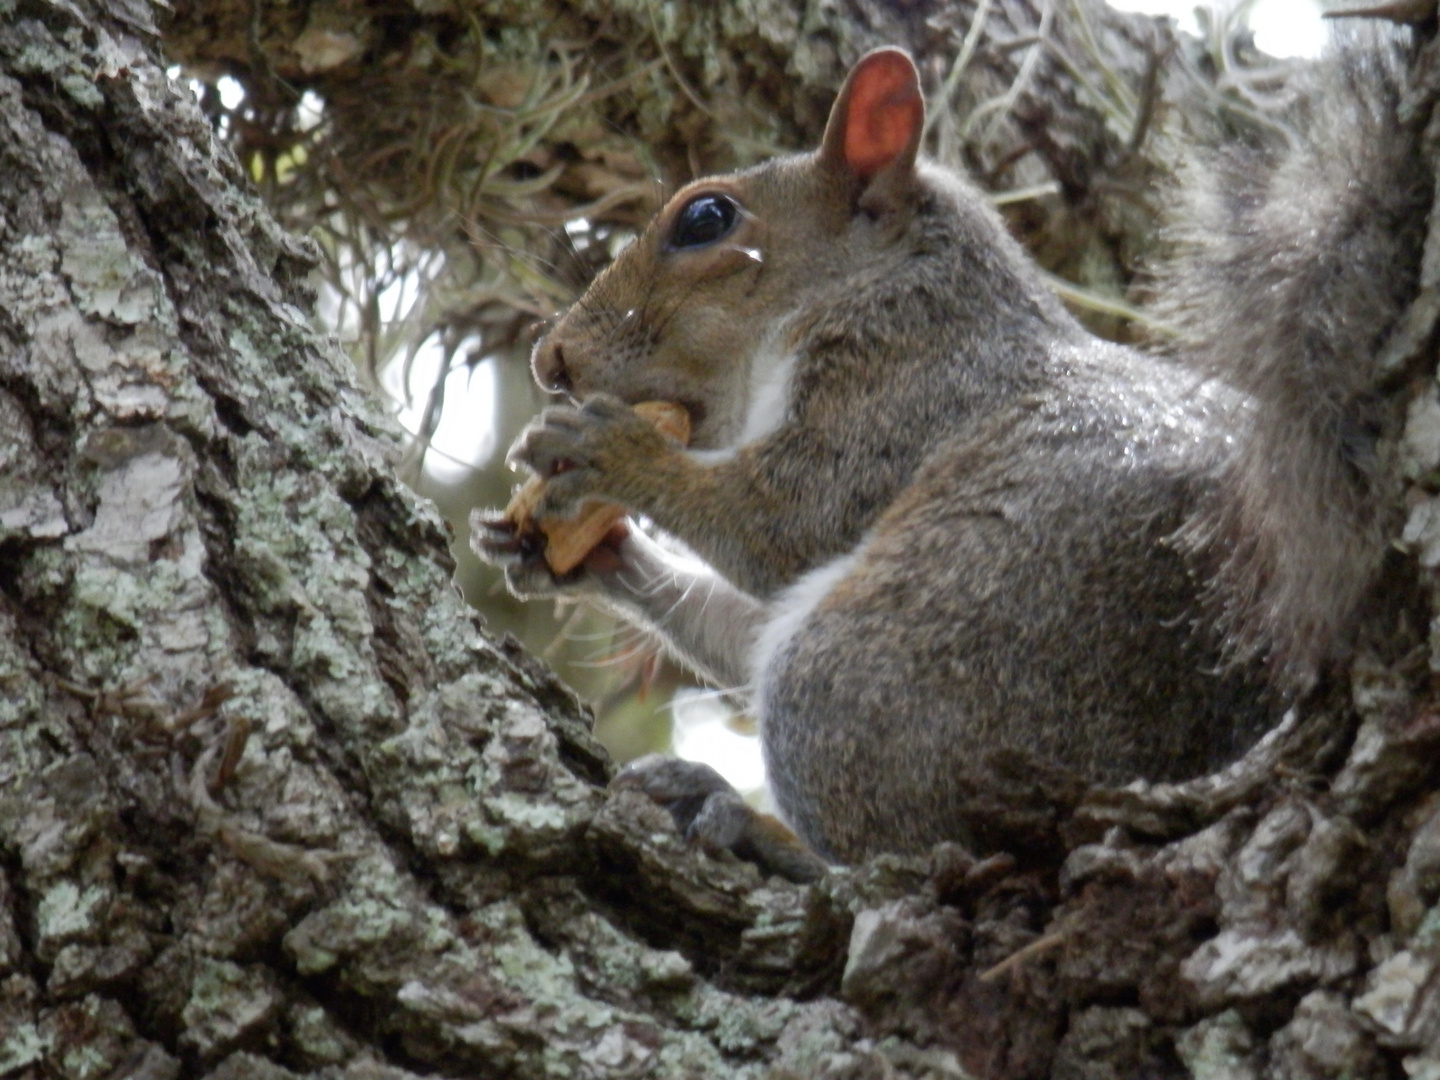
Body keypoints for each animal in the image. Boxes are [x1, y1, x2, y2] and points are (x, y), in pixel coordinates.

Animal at [475, 36, 1428, 881]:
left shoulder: (905, 386)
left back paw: (752, 829)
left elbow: (783, 525)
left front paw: (610, 451)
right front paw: (588, 553)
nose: (551, 362)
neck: (880, 284)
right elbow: (744, 612)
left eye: (706, 218)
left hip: (865, 677)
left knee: (910, 856)